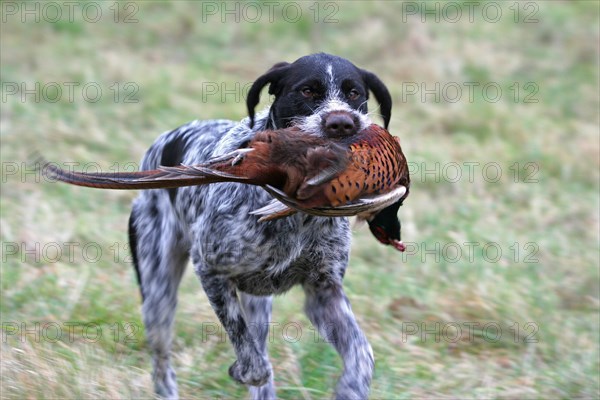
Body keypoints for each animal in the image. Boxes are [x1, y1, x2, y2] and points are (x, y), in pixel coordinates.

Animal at [130, 54, 394, 400]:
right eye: (307, 91)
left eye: (354, 93)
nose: (341, 123)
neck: (295, 212)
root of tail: (161, 144)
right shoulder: (212, 271)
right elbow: (250, 354)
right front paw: (244, 371)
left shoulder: (323, 291)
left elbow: (362, 352)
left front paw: (352, 388)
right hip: (158, 295)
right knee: (162, 364)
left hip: (258, 306)